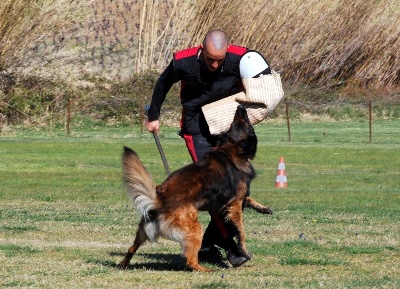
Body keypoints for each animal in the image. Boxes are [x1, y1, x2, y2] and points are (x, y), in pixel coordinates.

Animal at [117, 104, 270, 272]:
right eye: (244, 121)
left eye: (232, 124)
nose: (240, 106)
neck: (231, 148)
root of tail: (159, 201)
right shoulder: (235, 204)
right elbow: (241, 231)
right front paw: (243, 251)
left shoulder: (232, 200)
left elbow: (249, 199)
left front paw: (263, 208)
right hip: (195, 228)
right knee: (190, 261)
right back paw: (208, 269)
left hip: (143, 231)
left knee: (131, 248)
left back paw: (123, 264)